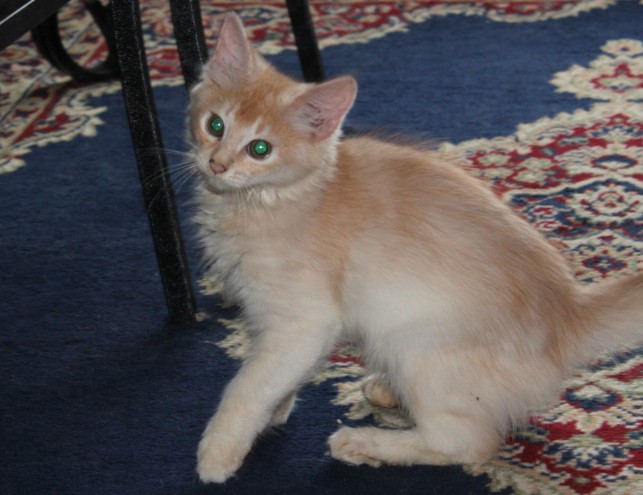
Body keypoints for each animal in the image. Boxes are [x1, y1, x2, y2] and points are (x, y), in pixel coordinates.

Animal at [190, 11, 643, 484]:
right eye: (215, 125)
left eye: (260, 149)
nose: (216, 164)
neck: (273, 201)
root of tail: (570, 314)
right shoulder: (272, 320)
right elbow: (276, 376)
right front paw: (278, 408)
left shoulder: (303, 322)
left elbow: (248, 386)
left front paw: (219, 451)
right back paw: (386, 394)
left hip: (416, 346)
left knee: (465, 443)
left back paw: (364, 442)